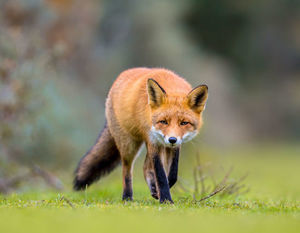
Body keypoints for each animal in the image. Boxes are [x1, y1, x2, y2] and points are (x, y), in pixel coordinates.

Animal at [74, 67, 207, 202]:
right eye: (163, 121)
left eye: (184, 123)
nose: (172, 139)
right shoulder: (153, 140)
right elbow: (160, 175)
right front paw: (166, 199)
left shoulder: (173, 146)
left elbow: (173, 174)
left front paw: (160, 192)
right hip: (129, 145)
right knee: (127, 169)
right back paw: (127, 197)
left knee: (145, 167)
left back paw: (152, 189)